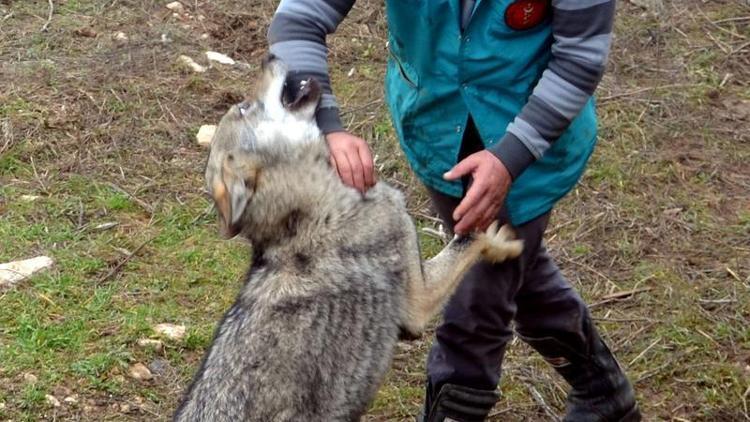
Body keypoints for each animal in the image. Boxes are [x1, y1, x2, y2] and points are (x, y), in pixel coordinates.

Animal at [172, 54, 524, 420]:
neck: (311, 208)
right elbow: (468, 239)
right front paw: (500, 241)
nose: (269, 56)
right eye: (244, 107)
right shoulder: (418, 303)